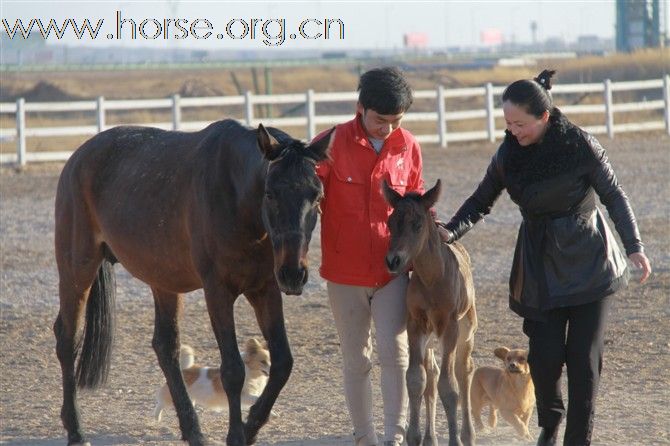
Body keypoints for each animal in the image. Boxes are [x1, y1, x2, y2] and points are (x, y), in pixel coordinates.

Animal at [53, 116, 336, 444]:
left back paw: (192, 430)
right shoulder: (218, 292)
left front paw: (251, 426)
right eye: (270, 193)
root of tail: (78, 157)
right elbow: (233, 370)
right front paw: (236, 435)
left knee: (166, 347)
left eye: (317, 195)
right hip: (77, 270)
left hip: (163, 281)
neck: (236, 197)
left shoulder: (265, 289)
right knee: (67, 339)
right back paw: (76, 429)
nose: (293, 273)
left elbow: (282, 362)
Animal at [384, 179, 478, 446]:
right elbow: (417, 379)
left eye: (417, 225)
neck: (432, 279)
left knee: (464, 370)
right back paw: (430, 437)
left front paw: (455, 440)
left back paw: (468, 434)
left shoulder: (450, 327)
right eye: (390, 223)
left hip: (467, 328)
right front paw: (414, 437)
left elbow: (450, 386)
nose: (393, 261)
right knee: (432, 374)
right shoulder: (416, 324)